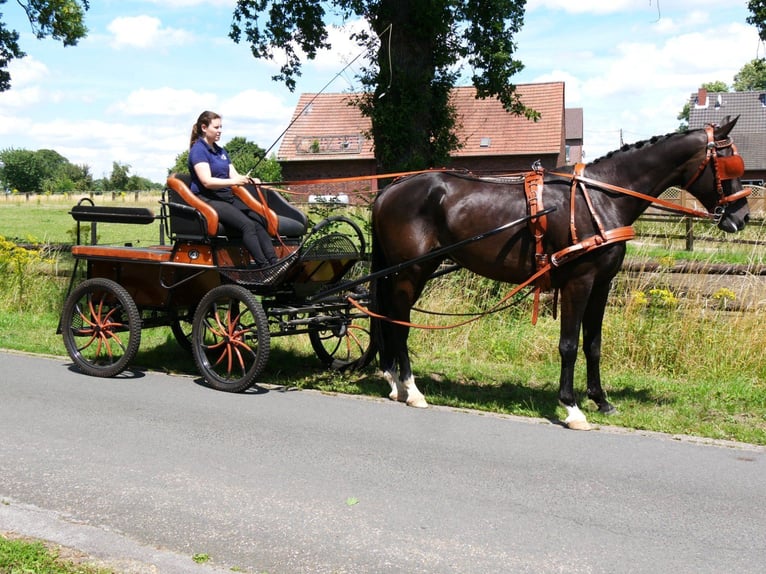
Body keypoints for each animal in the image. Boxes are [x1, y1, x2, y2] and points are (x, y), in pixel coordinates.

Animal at [370, 118, 752, 432]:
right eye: (727, 162)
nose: (743, 216)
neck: (601, 197)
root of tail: (390, 188)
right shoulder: (578, 282)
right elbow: (568, 344)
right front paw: (572, 407)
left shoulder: (601, 284)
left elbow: (593, 344)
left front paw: (601, 400)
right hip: (411, 269)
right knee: (400, 321)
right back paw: (411, 388)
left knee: (388, 315)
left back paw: (393, 380)